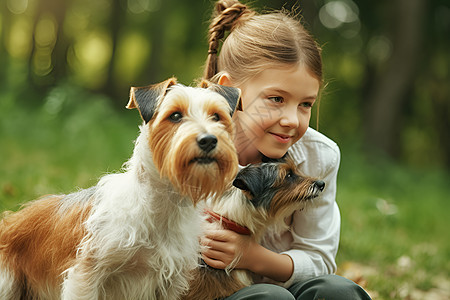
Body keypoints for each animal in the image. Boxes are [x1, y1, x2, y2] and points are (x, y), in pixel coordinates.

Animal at [0, 78, 241, 300]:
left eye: (216, 116)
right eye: (175, 116)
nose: (209, 140)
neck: (159, 204)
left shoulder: (169, 284)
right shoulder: (86, 276)